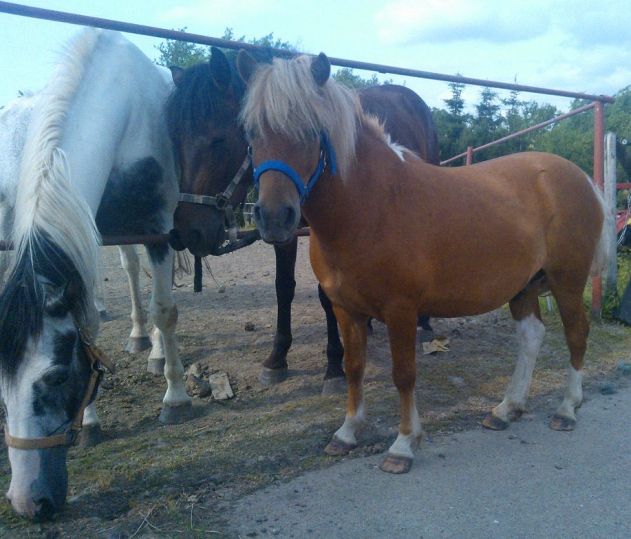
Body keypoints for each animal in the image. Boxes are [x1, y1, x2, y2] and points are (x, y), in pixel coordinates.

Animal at [0, 28, 191, 520]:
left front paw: (176, 398)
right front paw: (91, 422)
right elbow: (88, 324)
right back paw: (144, 342)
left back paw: (158, 352)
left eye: (53, 378)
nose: (29, 503)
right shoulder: (89, 228)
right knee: (132, 271)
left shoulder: (158, 227)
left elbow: (166, 311)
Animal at [165, 47, 436, 392]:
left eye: (219, 140)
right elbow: (284, 287)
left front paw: (334, 365)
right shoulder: (283, 230)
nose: (189, 231)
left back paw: (423, 321)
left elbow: (325, 294)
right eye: (175, 140)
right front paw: (277, 358)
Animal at [237, 53, 608, 476]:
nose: (274, 217)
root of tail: (580, 177)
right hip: (526, 286)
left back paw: (566, 409)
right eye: (250, 131)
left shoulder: (401, 310)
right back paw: (506, 409)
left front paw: (403, 444)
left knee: (576, 334)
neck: (371, 204)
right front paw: (347, 433)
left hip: (567, 281)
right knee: (531, 337)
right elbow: (354, 367)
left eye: (312, 130)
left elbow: (403, 375)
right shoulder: (346, 309)